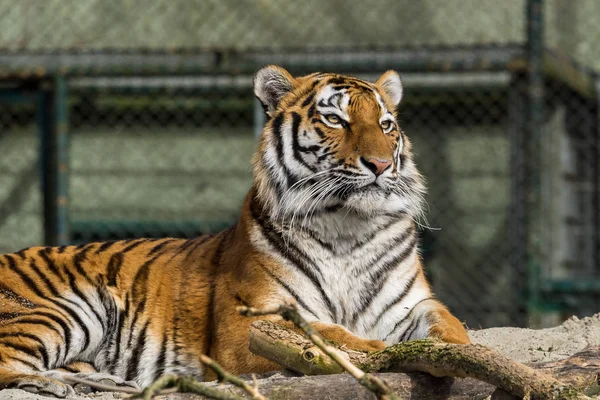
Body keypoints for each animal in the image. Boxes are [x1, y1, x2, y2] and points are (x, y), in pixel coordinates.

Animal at [0, 65, 468, 396]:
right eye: (336, 120)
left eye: (387, 125)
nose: (381, 165)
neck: (346, 225)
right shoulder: (252, 323)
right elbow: (333, 336)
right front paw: (380, 353)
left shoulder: (411, 305)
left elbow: (451, 328)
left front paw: (454, 353)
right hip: (69, 306)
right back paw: (55, 383)